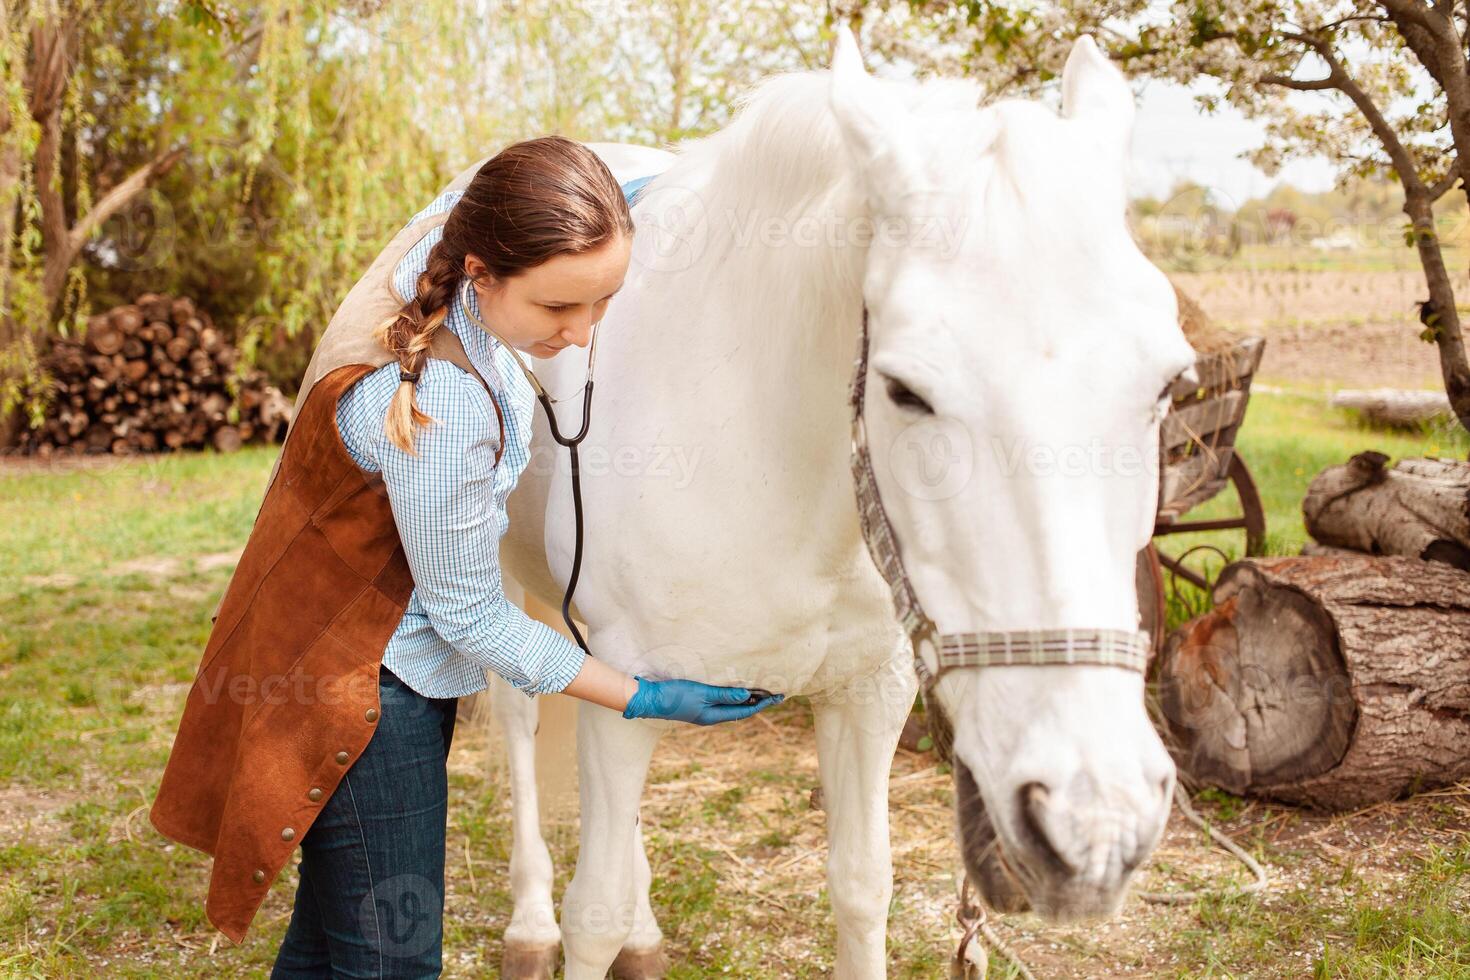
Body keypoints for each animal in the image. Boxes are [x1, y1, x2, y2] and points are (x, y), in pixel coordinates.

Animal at [482, 26, 1193, 975]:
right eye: (904, 391)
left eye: (1170, 384)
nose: (1094, 818)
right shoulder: (627, 686)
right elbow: (590, 909)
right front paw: (578, 923)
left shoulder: (864, 694)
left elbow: (862, 888)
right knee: (518, 719)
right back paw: (529, 923)